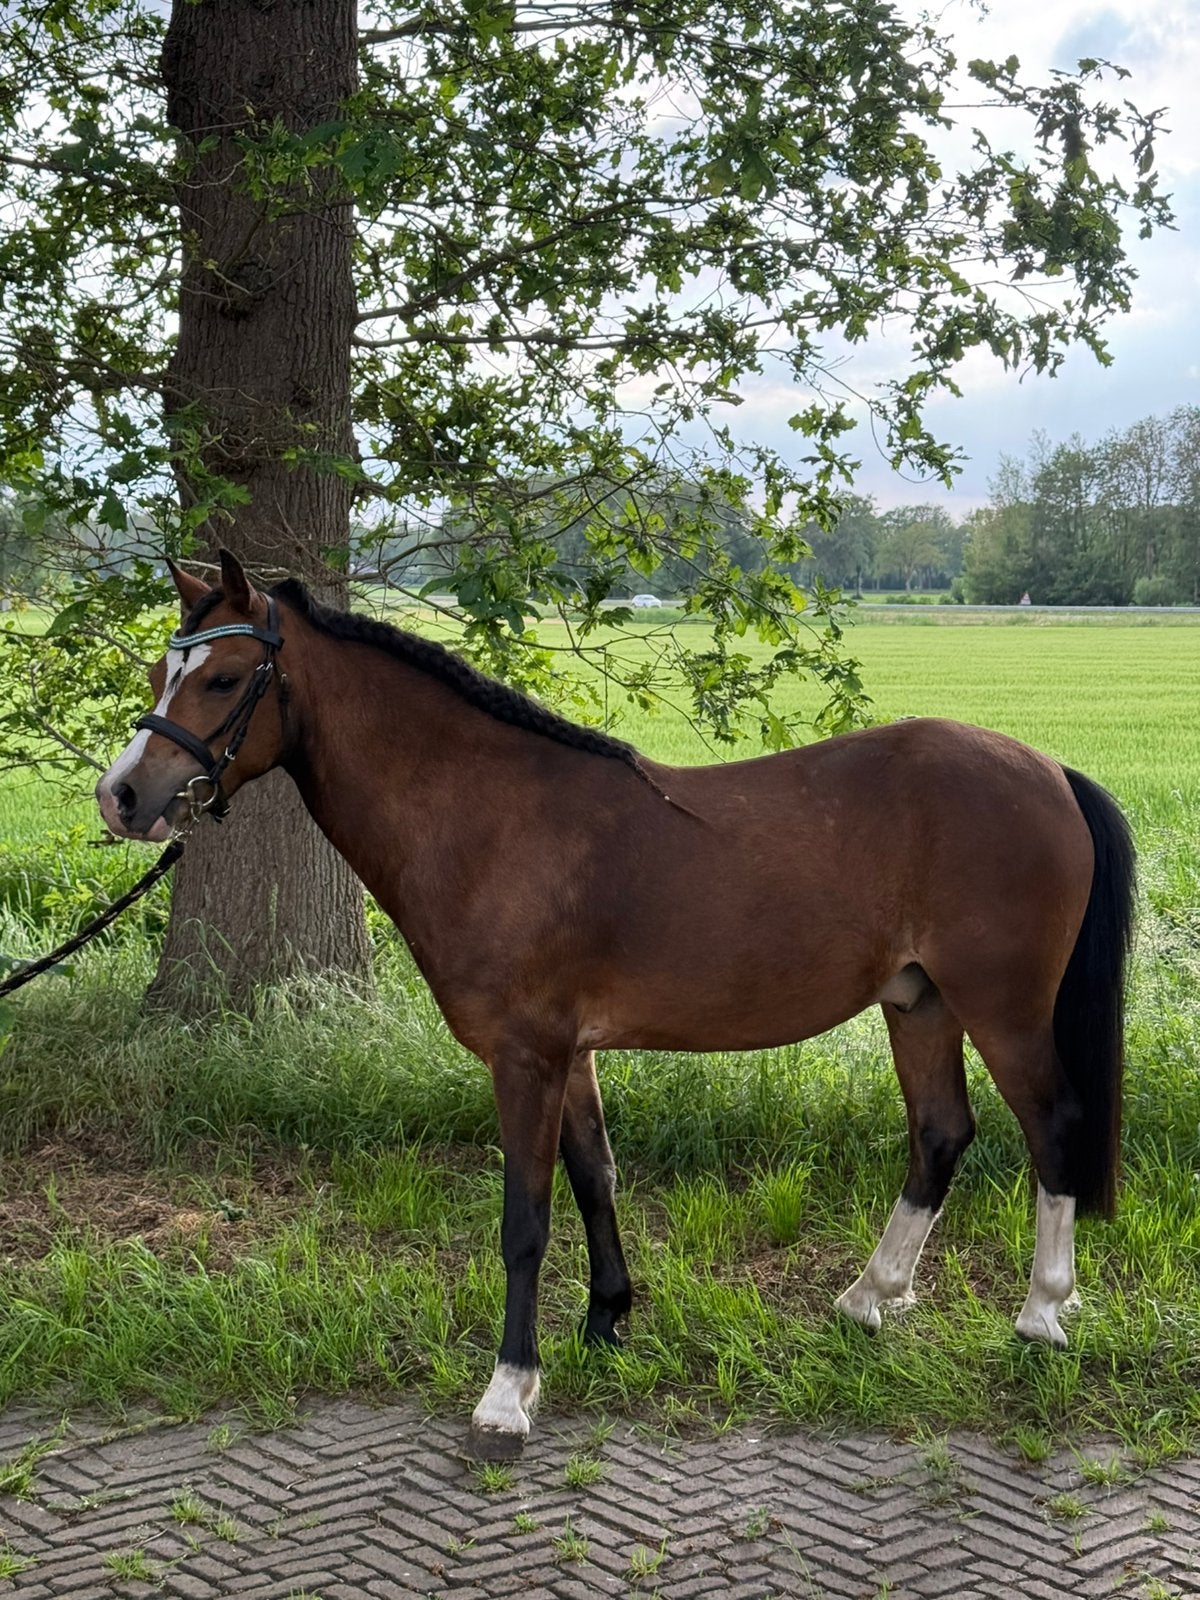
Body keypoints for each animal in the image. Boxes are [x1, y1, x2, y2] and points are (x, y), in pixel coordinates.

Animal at [97, 550, 1135, 1458]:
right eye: (161, 670)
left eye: (225, 678)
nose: (123, 796)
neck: (489, 819)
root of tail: (1050, 772)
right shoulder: (573, 1053)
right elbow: (595, 1176)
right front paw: (606, 1324)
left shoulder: (525, 1056)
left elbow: (525, 1220)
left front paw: (509, 1392)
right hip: (919, 1003)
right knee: (940, 1134)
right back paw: (868, 1298)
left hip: (1001, 1009)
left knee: (1053, 1126)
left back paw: (1042, 1311)